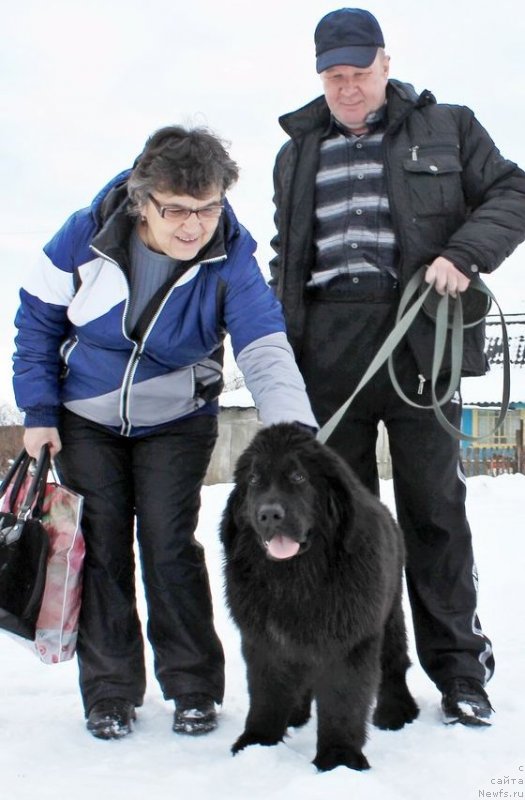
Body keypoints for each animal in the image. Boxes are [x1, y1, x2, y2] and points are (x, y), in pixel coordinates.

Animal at [220, 422, 418, 772]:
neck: (295, 579)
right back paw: (296, 713)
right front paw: (256, 743)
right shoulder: (265, 640)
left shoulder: (351, 640)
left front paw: (339, 758)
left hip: (390, 612)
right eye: (254, 480)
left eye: (299, 477)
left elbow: (342, 699)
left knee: (394, 661)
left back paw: (396, 712)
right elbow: (266, 694)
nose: (269, 514)